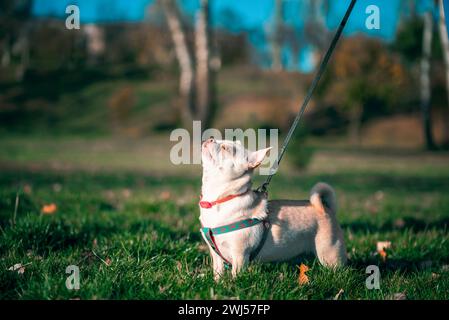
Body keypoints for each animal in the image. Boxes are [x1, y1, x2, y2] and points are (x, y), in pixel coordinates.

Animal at [200, 138, 346, 280]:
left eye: (225, 148)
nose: (210, 138)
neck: (220, 199)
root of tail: (325, 208)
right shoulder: (216, 256)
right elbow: (218, 273)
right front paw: (218, 284)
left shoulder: (240, 256)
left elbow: (236, 276)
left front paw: (232, 286)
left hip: (329, 254)